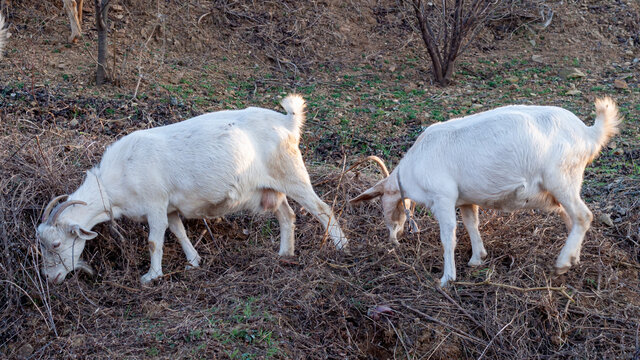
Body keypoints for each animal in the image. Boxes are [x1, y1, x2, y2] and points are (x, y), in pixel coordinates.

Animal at [37, 95, 348, 284]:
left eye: (56, 244)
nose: (51, 279)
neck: (118, 177)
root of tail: (288, 122)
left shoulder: (155, 204)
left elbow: (154, 241)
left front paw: (152, 276)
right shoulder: (170, 207)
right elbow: (179, 232)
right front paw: (194, 261)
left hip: (292, 174)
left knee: (322, 209)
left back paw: (342, 247)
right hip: (269, 189)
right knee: (287, 215)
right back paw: (285, 254)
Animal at [350, 97, 620, 286]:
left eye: (383, 204)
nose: (393, 239)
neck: (415, 164)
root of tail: (588, 133)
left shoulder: (443, 197)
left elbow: (448, 236)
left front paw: (447, 278)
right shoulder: (465, 200)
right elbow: (472, 224)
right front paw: (477, 258)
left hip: (561, 178)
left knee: (583, 216)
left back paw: (562, 263)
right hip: (559, 188)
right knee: (571, 218)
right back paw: (573, 259)